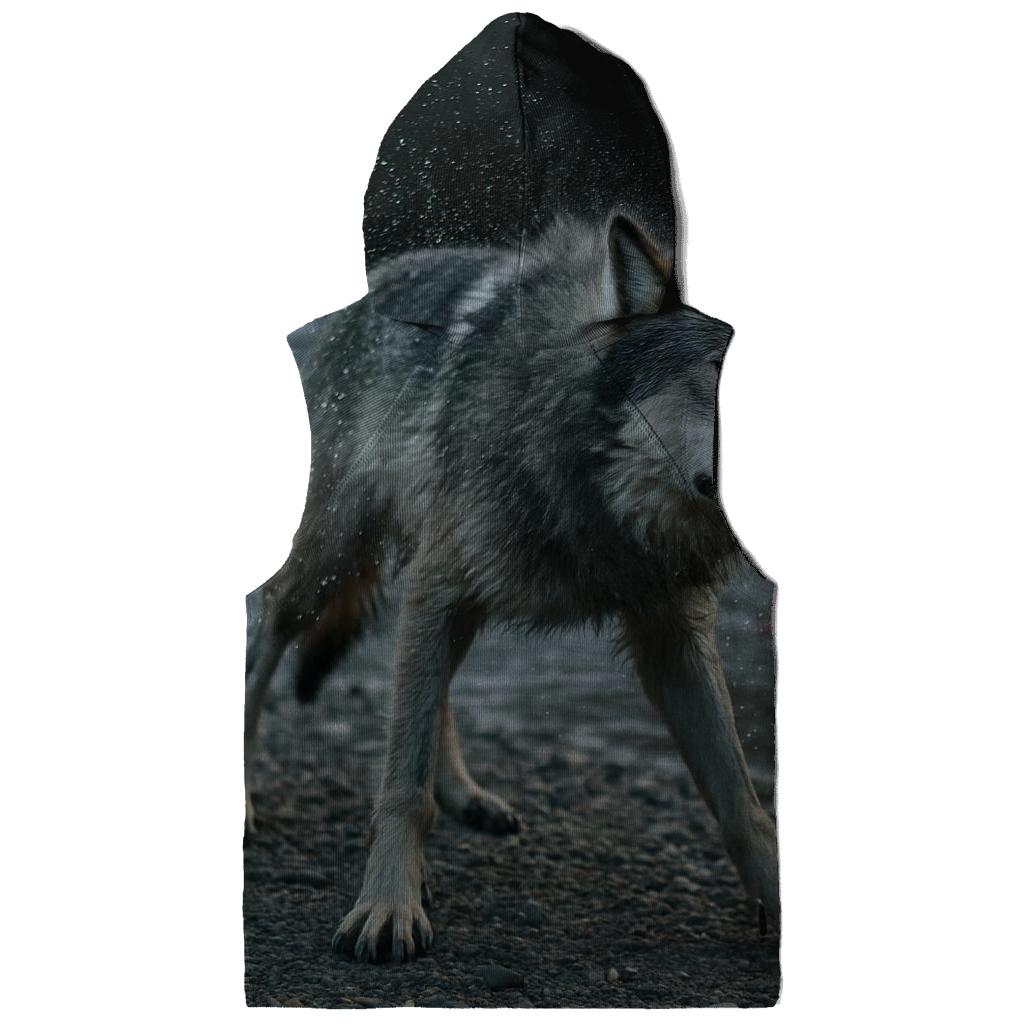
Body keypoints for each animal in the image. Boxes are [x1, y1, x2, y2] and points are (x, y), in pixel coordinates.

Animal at [244, 214, 779, 963]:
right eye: (721, 379)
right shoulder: (442, 584)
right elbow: (401, 781)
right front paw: (389, 906)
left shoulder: (670, 633)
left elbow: (741, 800)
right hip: (328, 564)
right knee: (263, 650)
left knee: (427, 691)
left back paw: (464, 795)